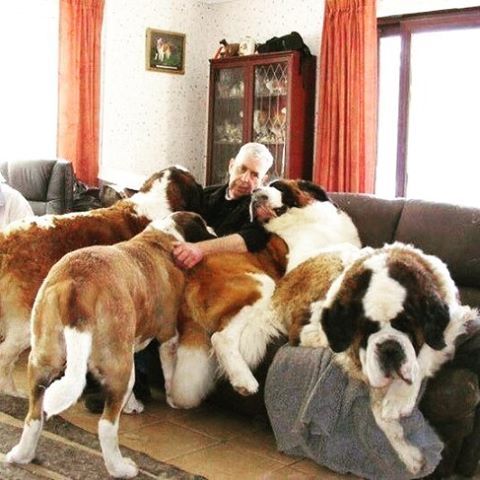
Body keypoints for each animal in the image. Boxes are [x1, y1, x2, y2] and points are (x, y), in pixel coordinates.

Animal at [5, 212, 215, 478]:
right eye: (204, 222)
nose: (214, 229)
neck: (161, 240)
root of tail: (76, 284)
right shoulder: (168, 336)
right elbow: (169, 373)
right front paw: (172, 399)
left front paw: (133, 404)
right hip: (119, 366)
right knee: (106, 425)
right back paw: (121, 468)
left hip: (43, 360)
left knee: (33, 416)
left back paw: (21, 454)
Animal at [166, 180, 360, 408]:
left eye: (279, 187)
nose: (255, 191)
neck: (304, 218)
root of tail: (190, 277)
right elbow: (344, 250)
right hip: (263, 284)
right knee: (221, 337)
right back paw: (244, 380)